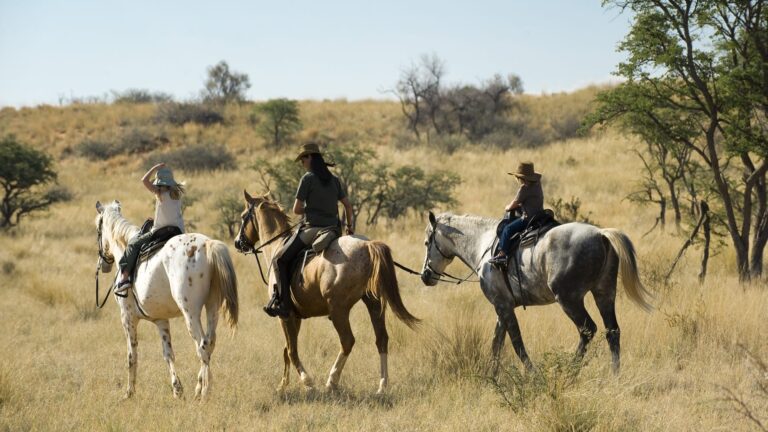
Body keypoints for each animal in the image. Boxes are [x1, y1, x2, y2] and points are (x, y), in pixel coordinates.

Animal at [94, 200, 238, 400]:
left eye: (98, 231)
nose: (103, 265)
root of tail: (208, 244)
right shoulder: (161, 320)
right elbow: (168, 353)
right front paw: (177, 389)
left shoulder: (127, 318)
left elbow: (132, 356)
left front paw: (129, 393)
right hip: (212, 308)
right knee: (210, 343)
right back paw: (200, 387)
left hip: (190, 313)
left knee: (202, 346)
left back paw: (203, 392)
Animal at [234, 191, 419, 394]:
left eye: (243, 216)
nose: (238, 243)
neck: (277, 245)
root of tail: (368, 245)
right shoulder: (295, 316)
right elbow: (287, 350)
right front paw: (283, 384)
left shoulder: (285, 316)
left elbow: (291, 351)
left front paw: (307, 382)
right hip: (373, 304)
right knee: (382, 339)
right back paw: (382, 385)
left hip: (338, 310)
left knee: (347, 341)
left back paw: (332, 381)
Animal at [420, 211, 652, 375]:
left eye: (427, 242)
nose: (425, 275)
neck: (483, 246)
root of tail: (600, 234)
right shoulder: (502, 307)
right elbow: (497, 343)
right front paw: (491, 376)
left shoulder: (503, 306)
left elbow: (516, 342)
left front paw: (532, 373)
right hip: (604, 294)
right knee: (612, 331)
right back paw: (615, 375)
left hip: (569, 299)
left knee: (588, 330)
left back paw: (570, 371)